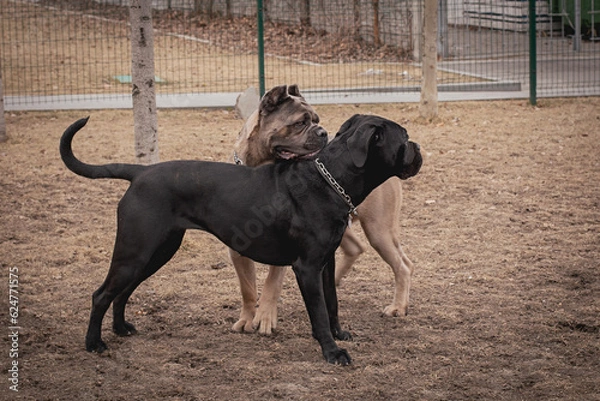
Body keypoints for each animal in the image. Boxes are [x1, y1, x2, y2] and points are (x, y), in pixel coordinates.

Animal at [59, 112, 422, 362]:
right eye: (404, 138)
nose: (418, 148)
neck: (330, 178)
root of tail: (141, 172)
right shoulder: (306, 267)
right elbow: (318, 311)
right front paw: (332, 353)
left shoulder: (326, 263)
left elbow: (331, 304)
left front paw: (339, 335)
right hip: (135, 251)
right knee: (101, 294)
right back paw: (95, 343)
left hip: (156, 252)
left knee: (122, 292)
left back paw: (121, 329)